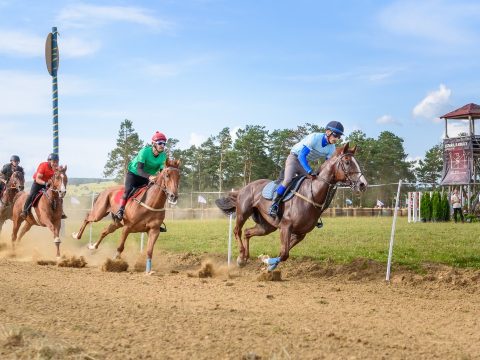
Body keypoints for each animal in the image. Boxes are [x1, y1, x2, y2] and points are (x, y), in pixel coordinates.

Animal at [216, 142, 370, 272]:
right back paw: (241, 256)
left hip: (267, 226)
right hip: (243, 212)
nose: (363, 184)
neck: (311, 194)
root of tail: (244, 188)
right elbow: (284, 253)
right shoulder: (286, 227)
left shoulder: (300, 233)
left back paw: (243, 259)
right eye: (347, 162)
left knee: (248, 232)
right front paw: (266, 261)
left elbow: (283, 253)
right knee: (237, 231)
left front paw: (268, 263)